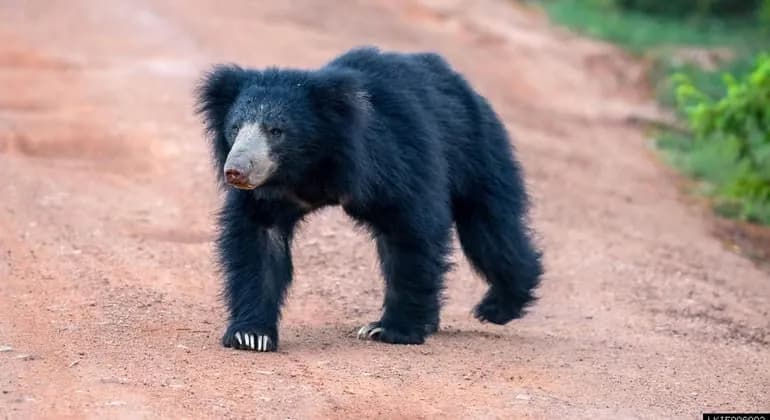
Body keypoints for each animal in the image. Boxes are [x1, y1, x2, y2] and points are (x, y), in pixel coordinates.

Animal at [196, 46, 543, 352]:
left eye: (276, 131)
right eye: (235, 128)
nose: (236, 171)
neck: (310, 167)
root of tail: (463, 84)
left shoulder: (394, 159)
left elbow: (411, 232)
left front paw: (390, 330)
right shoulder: (269, 195)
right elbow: (259, 242)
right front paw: (250, 335)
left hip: (477, 151)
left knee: (489, 231)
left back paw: (498, 306)